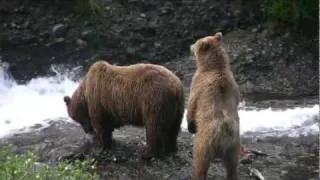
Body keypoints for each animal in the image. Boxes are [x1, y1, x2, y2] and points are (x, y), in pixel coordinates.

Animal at [188, 32, 240, 180]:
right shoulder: (234, 86)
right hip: (234, 147)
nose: (190, 46)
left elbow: (192, 103)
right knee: (232, 167)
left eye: (196, 42)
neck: (214, 66)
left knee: (200, 162)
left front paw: (190, 125)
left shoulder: (198, 82)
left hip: (204, 142)